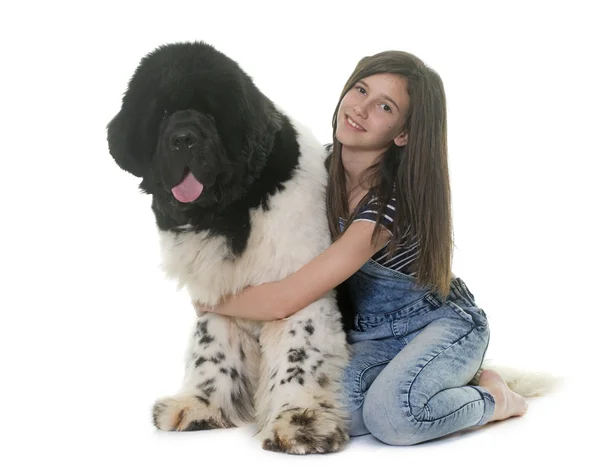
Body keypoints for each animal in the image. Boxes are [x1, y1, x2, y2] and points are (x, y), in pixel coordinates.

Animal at [107, 41, 350, 454]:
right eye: (163, 113)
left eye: (210, 113)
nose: (183, 139)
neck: (229, 215)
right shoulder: (221, 294)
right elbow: (211, 347)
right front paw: (199, 404)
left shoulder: (300, 287)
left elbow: (298, 354)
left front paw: (299, 422)